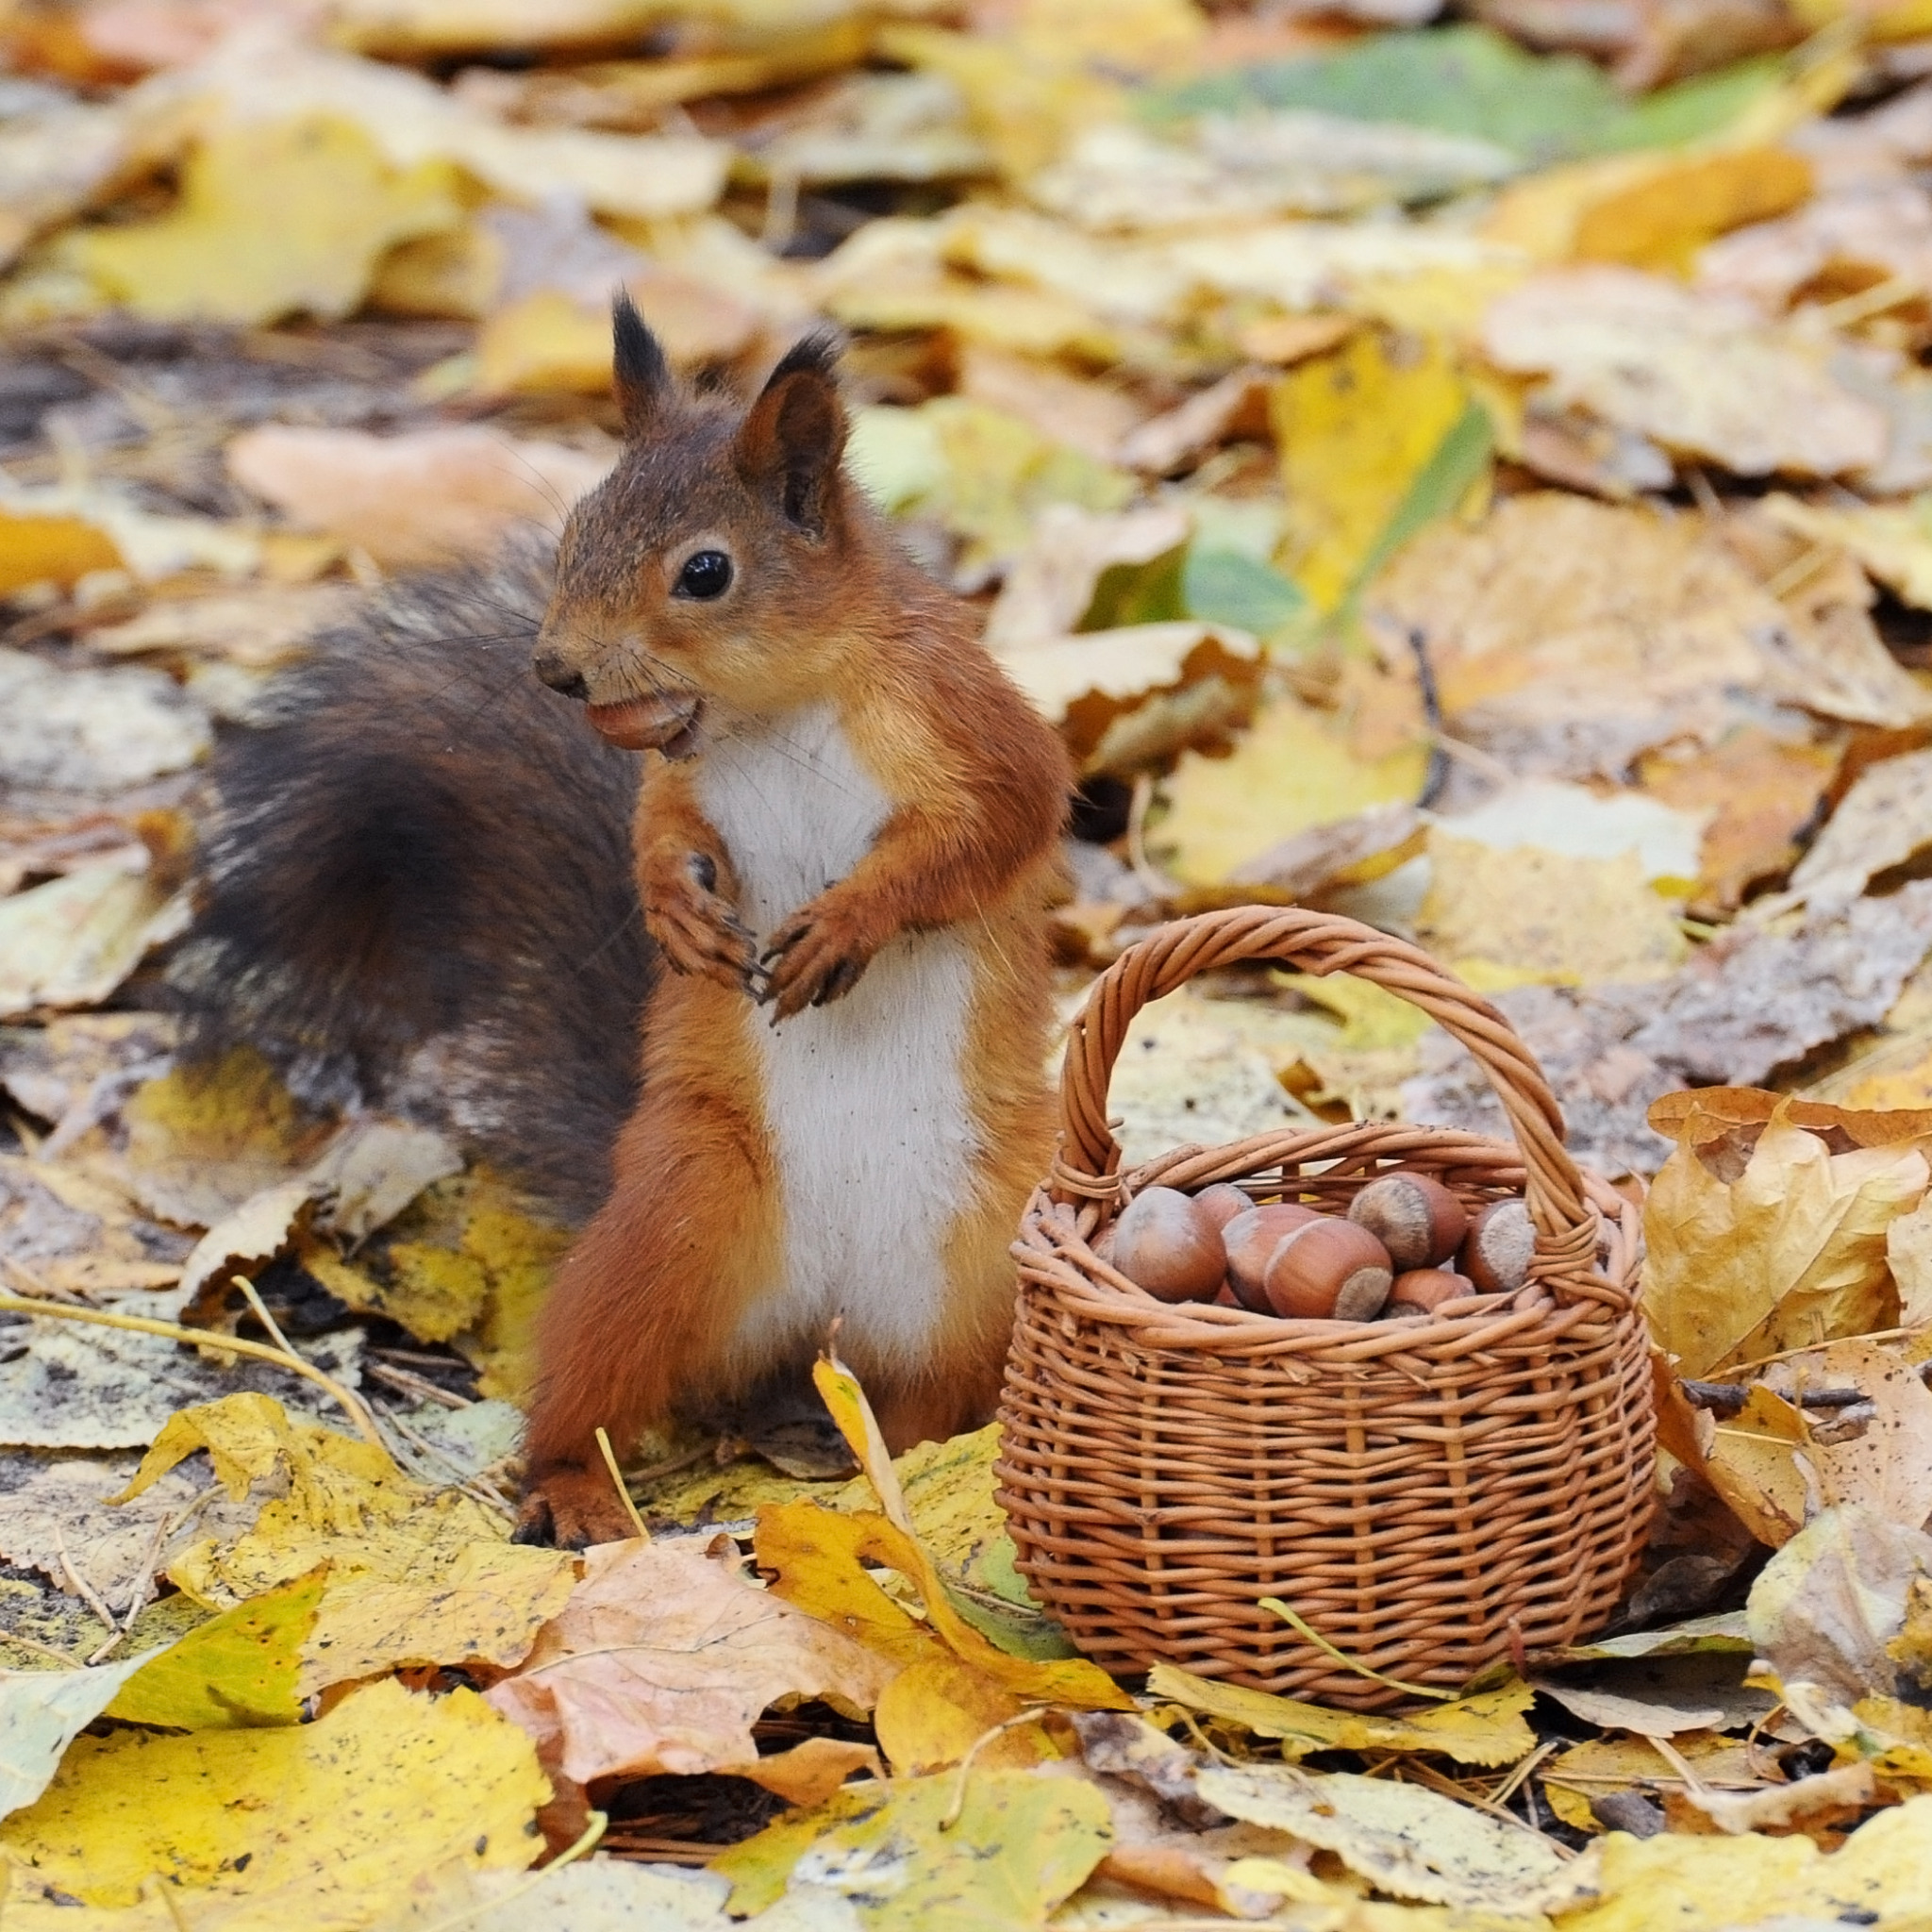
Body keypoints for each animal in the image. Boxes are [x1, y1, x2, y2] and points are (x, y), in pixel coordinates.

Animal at [179, 297, 1074, 1538]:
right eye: (573, 530)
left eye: (705, 571)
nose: (554, 670)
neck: (773, 711)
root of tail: (822, 1321)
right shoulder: (681, 785)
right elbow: (654, 830)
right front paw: (671, 912)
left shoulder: (972, 726)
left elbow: (990, 829)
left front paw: (849, 919)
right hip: (672, 1215)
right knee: (597, 1385)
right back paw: (578, 1485)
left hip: (986, 1263)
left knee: (935, 1398)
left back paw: (904, 1469)